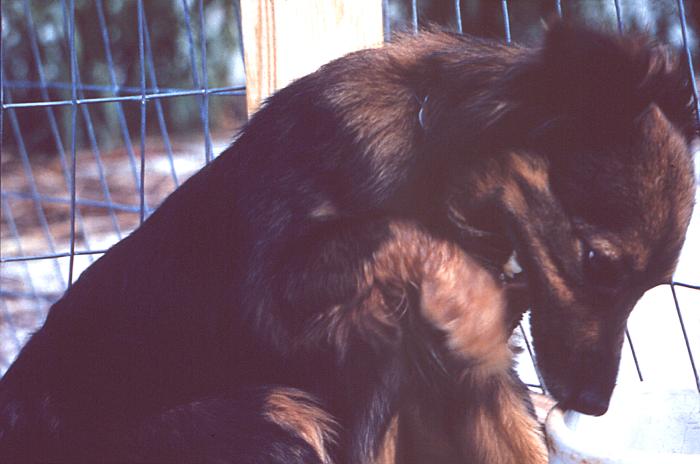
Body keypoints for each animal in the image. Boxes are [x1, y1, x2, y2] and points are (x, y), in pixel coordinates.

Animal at [0, 22, 696, 464]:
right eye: (597, 262)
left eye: (649, 286)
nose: (593, 405)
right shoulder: (275, 296)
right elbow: (392, 229)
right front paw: (473, 306)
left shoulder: (472, 386)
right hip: (276, 421)